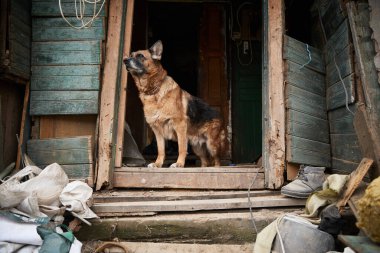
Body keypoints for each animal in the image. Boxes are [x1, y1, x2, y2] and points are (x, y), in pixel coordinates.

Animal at [124, 40, 226, 168]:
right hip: (197, 148)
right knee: (205, 161)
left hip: (212, 145)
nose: (125, 60)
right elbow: (161, 150)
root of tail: (219, 115)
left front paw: (179, 164)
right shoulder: (157, 130)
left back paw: (216, 167)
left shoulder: (180, 125)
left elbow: (181, 148)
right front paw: (158, 164)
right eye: (131, 55)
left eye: (140, 56)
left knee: (217, 160)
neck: (154, 91)